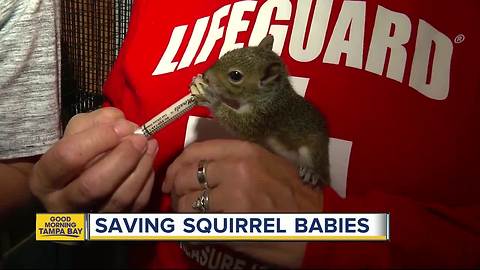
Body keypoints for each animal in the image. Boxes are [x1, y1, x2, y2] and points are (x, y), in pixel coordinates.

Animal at [195, 34, 330, 188]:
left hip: (314, 147)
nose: (205, 75)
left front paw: (213, 99)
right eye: (227, 53)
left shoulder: (265, 115)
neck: (270, 94)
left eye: (235, 75)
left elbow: (242, 126)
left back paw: (311, 172)